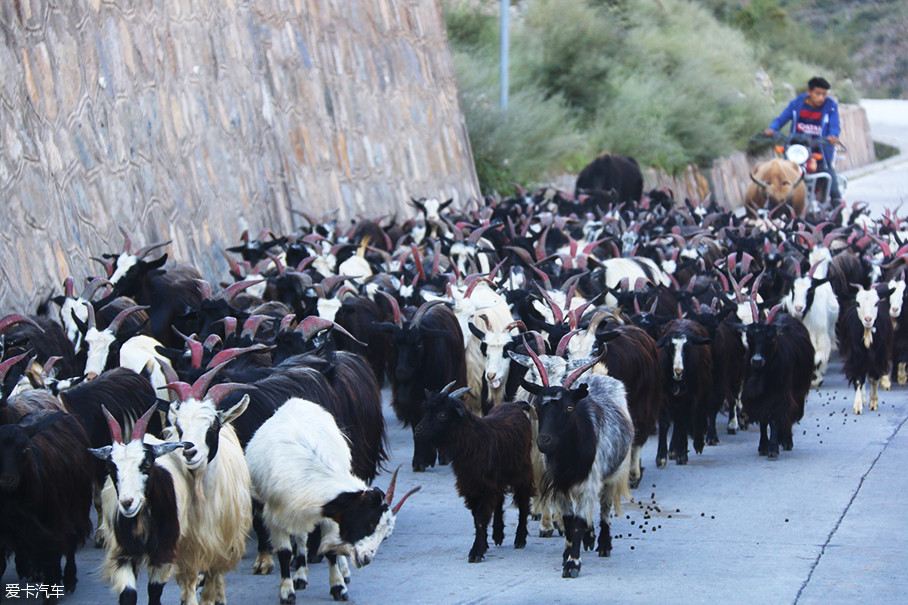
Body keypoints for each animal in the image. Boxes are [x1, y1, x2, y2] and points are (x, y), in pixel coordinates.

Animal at [247, 398, 420, 600]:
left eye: (385, 536)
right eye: (370, 523)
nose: (366, 559)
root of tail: (295, 401)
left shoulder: (329, 514)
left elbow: (330, 549)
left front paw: (338, 586)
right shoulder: (276, 516)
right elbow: (285, 553)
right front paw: (287, 592)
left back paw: (342, 572)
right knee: (301, 538)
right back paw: (300, 576)